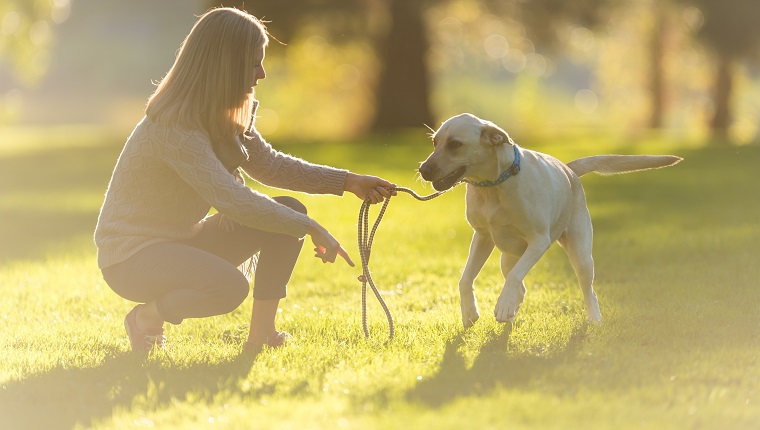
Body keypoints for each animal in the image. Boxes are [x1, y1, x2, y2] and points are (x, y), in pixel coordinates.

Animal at [418, 114, 680, 326]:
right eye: (434, 143)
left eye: (455, 144)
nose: (423, 169)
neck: (494, 185)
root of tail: (569, 169)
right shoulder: (482, 237)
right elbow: (465, 279)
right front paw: (470, 313)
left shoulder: (539, 241)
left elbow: (514, 277)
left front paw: (502, 306)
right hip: (506, 256)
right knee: (518, 283)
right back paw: (512, 307)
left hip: (582, 256)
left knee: (588, 291)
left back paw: (594, 319)